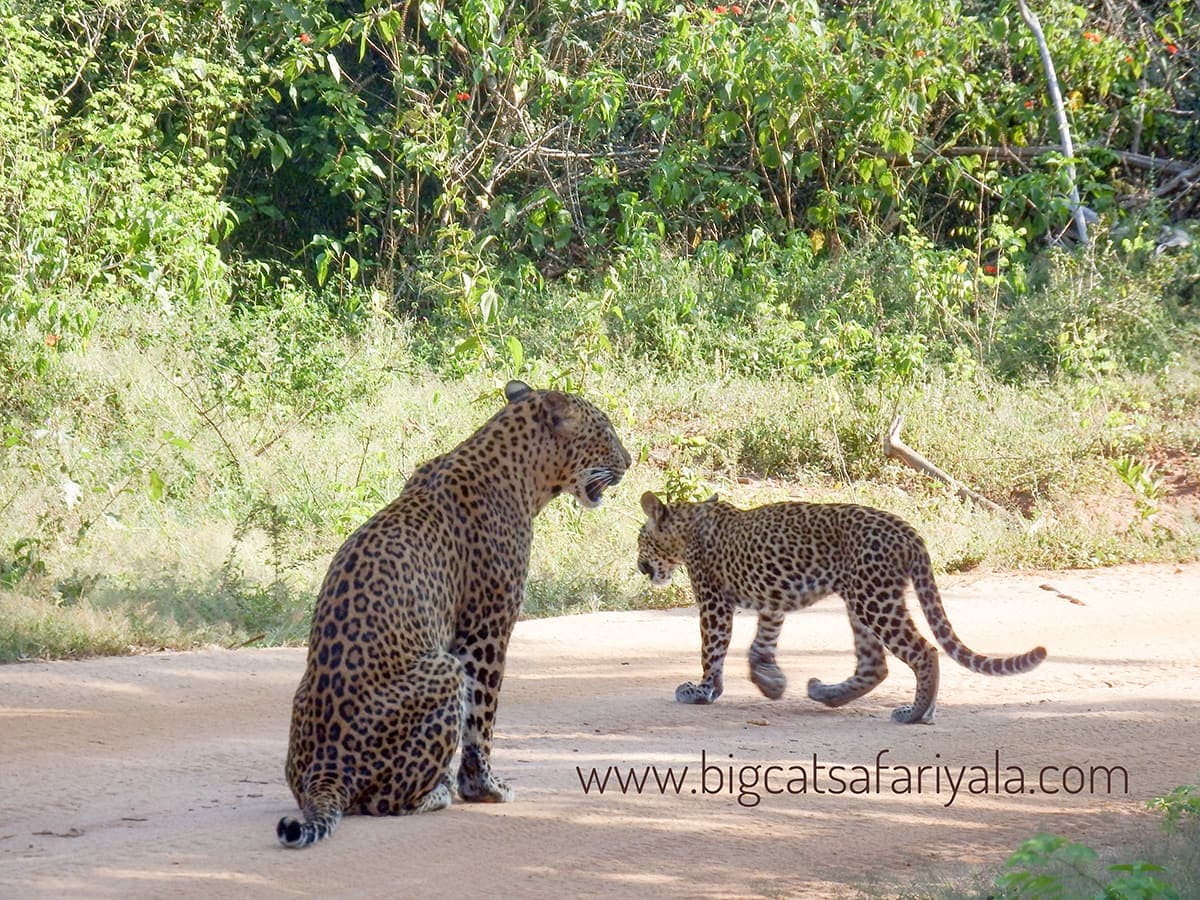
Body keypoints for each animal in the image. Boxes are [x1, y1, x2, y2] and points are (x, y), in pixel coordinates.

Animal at [277, 380, 630, 848]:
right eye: (605, 430)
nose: (629, 461)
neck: (526, 473)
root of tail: (324, 772)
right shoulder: (487, 626)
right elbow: (482, 715)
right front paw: (484, 788)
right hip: (444, 668)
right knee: (382, 801)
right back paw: (436, 793)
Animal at [637, 491, 1046, 724]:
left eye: (641, 539)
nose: (639, 566)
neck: (689, 525)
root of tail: (908, 531)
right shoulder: (773, 599)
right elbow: (762, 643)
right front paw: (771, 682)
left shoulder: (713, 599)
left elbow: (712, 648)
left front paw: (703, 690)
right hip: (861, 598)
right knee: (875, 665)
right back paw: (828, 694)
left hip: (872, 597)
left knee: (923, 651)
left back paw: (916, 714)